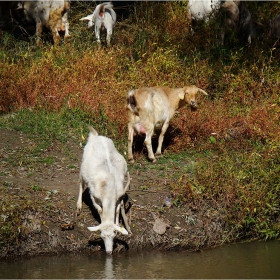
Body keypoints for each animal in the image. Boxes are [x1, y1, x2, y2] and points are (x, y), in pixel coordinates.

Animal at [77, 126, 132, 255]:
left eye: (113, 236)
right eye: (101, 236)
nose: (108, 252)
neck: (109, 191)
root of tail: (96, 136)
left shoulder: (119, 196)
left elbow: (117, 210)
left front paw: (117, 223)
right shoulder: (94, 195)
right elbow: (100, 210)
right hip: (82, 165)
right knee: (80, 183)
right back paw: (78, 206)